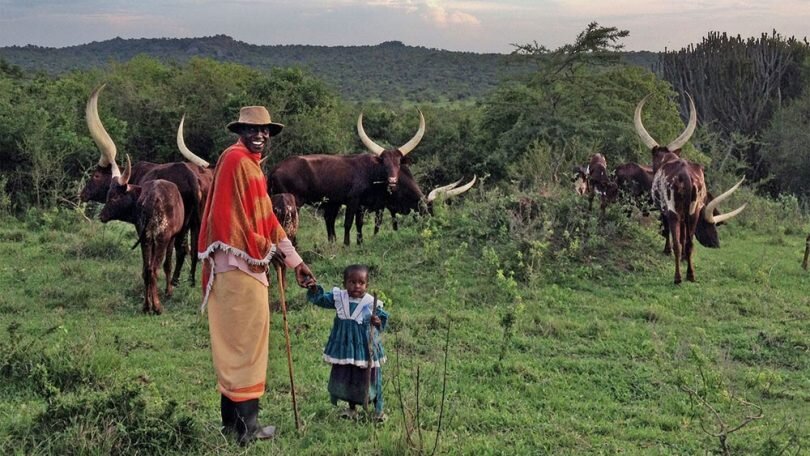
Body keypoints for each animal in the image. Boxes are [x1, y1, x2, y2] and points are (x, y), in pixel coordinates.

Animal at [100, 157, 184, 314]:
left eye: (114, 197)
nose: (101, 216)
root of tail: (152, 198)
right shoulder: (171, 238)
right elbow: (168, 265)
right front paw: (168, 291)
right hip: (160, 239)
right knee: (153, 270)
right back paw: (157, 307)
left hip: (146, 239)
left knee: (146, 270)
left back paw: (146, 306)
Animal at [268, 111, 426, 246]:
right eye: (384, 164)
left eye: (398, 164)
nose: (392, 181)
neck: (370, 172)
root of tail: (276, 167)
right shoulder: (352, 200)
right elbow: (348, 223)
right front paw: (346, 244)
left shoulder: (362, 204)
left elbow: (359, 223)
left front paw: (360, 243)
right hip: (292, 204)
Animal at [632, 92, 744, 284]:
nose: (716, 244)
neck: (668, 159)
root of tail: (684, 175)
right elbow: (685, 237)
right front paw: (685, 259)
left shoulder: (665, 211)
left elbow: (668, 232)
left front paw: (666, 251)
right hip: (692, 213)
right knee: (689, 242)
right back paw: (690, 275)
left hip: (674, 212)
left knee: (677, 241)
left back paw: (677, 277)